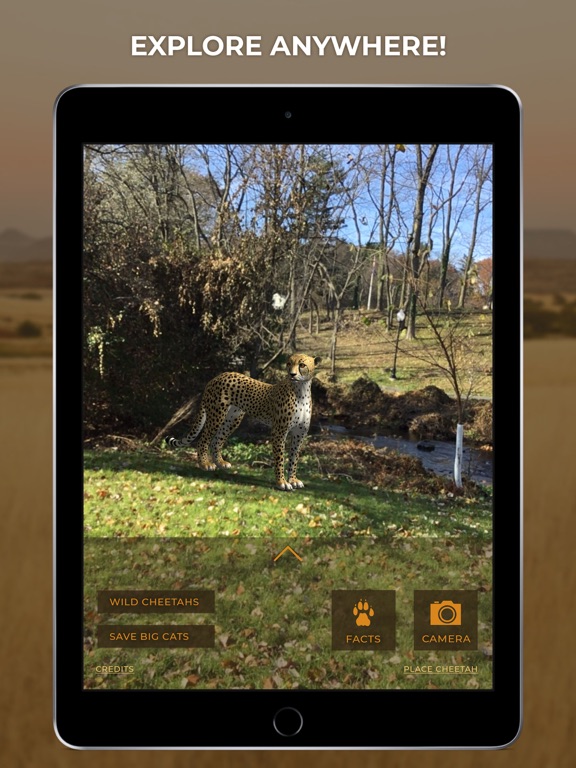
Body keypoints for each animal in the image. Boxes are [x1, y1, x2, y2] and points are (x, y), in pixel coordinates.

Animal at [166, 354, 322, 491]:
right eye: (288, 364)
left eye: (302, 365)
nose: (292, 374)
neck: (301, 390)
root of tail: (218, 376)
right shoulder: (279, 432)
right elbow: (280, 458)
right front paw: (281, 482)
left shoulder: (299, 434)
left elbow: (294, 458)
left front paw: (293, 480)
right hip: (217, 415)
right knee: (203, 439)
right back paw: (205, 464)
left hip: (232, 419)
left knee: (216, 440)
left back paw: (221, 463)